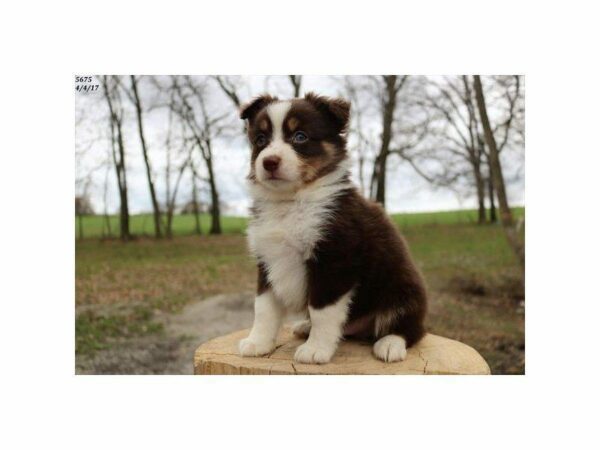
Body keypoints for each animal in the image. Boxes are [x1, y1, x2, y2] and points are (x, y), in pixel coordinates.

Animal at [237, 93, 424, 364]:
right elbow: (264, 308)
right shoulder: (267, 260)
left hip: (403, 290)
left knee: (411, 328)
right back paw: (305, 327)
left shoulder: (334, 259)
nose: (269, 162)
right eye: (260, 140)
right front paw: (257, 342)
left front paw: (315, 350)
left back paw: (390, 344)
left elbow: (322, 311)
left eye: (300, 136)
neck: (292, 201)